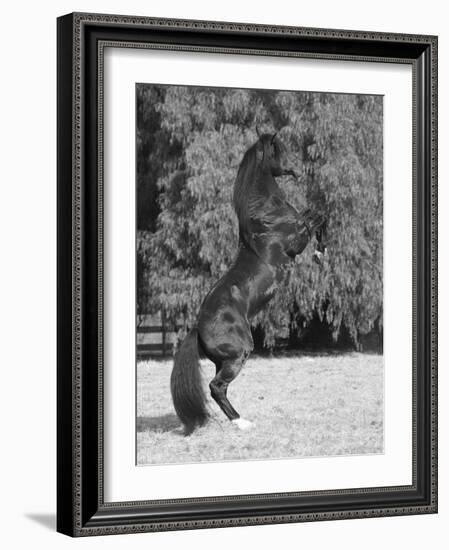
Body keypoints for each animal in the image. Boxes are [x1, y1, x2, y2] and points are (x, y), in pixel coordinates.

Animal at [170, 132, 324, 434]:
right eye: (281, 150)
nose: (299, 169)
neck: (266, 216)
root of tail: (197, 328)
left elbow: (315, 213)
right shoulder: (296, 239)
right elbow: (316, 215)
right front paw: (321, 249)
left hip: (225, 360)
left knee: (220, 388)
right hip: (239, 353)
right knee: (216, 387)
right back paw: (242, 423)